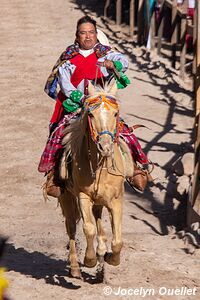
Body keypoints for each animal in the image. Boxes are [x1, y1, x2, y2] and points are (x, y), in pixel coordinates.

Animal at [58, 80, 133, 278]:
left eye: (115, 113)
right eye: (91, 114)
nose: (105, 147)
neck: (101, 169)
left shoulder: (116, 200)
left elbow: (117, 239)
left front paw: (111, 258)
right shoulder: (82, 196)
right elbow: (88, 228)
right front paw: (90, 260)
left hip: (99, 201)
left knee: (99, 223)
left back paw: (101, 257)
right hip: (66, 197)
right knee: (71, 227)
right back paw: (75, 267)